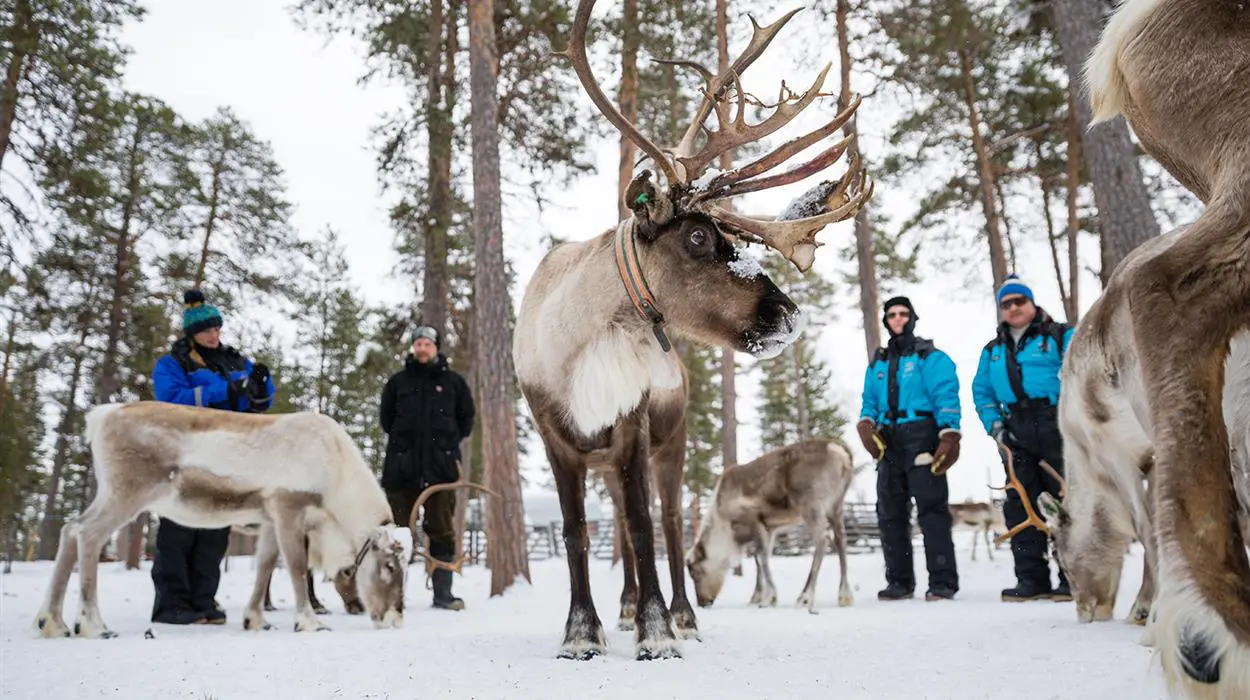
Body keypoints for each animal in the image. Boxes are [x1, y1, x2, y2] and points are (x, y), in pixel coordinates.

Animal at [32, 402, 409, 639]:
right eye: (389, 567)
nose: (394, 619)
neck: (336, 479)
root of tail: (101, 417)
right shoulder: (288, 506)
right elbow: (297, 567)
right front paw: (309, 622)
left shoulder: (267, 517)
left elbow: (265, 565)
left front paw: (256, 620)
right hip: (127, 493)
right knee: (89, 535)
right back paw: (93, 626)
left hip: (109, 493)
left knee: (69, 529)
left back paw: (52, 622)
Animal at [685, 438, 855, 614]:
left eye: (695, 572)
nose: (702, 602)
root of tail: (841, 453)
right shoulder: (770, 527)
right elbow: (761, 557)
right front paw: (757, 596)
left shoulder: (754, 519)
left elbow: (761, 556)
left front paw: (769, 598)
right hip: (836, 506)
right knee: (841, 540)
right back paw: (844, 595)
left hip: (810, 504)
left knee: (822, 540)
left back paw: (805, 597)